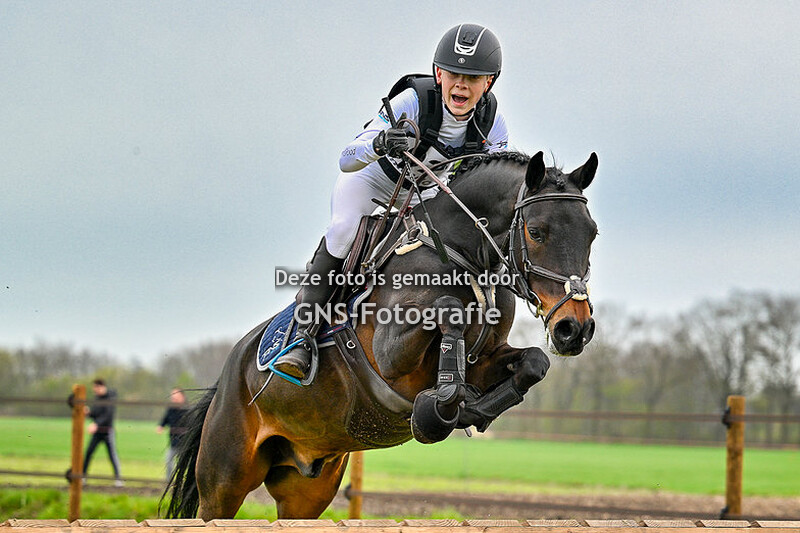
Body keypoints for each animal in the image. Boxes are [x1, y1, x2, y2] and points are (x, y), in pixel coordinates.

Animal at [163, 150, 599, 519]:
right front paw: (442, 404)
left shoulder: (486, 358)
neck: (461, 253)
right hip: (225, 479)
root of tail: (228, 372)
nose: (574, 328)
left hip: (307, 488)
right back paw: (295, 354)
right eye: (537, 232)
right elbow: (449, 311)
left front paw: (474, 409)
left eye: (592, 233)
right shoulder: (391, 356)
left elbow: (533, 362)